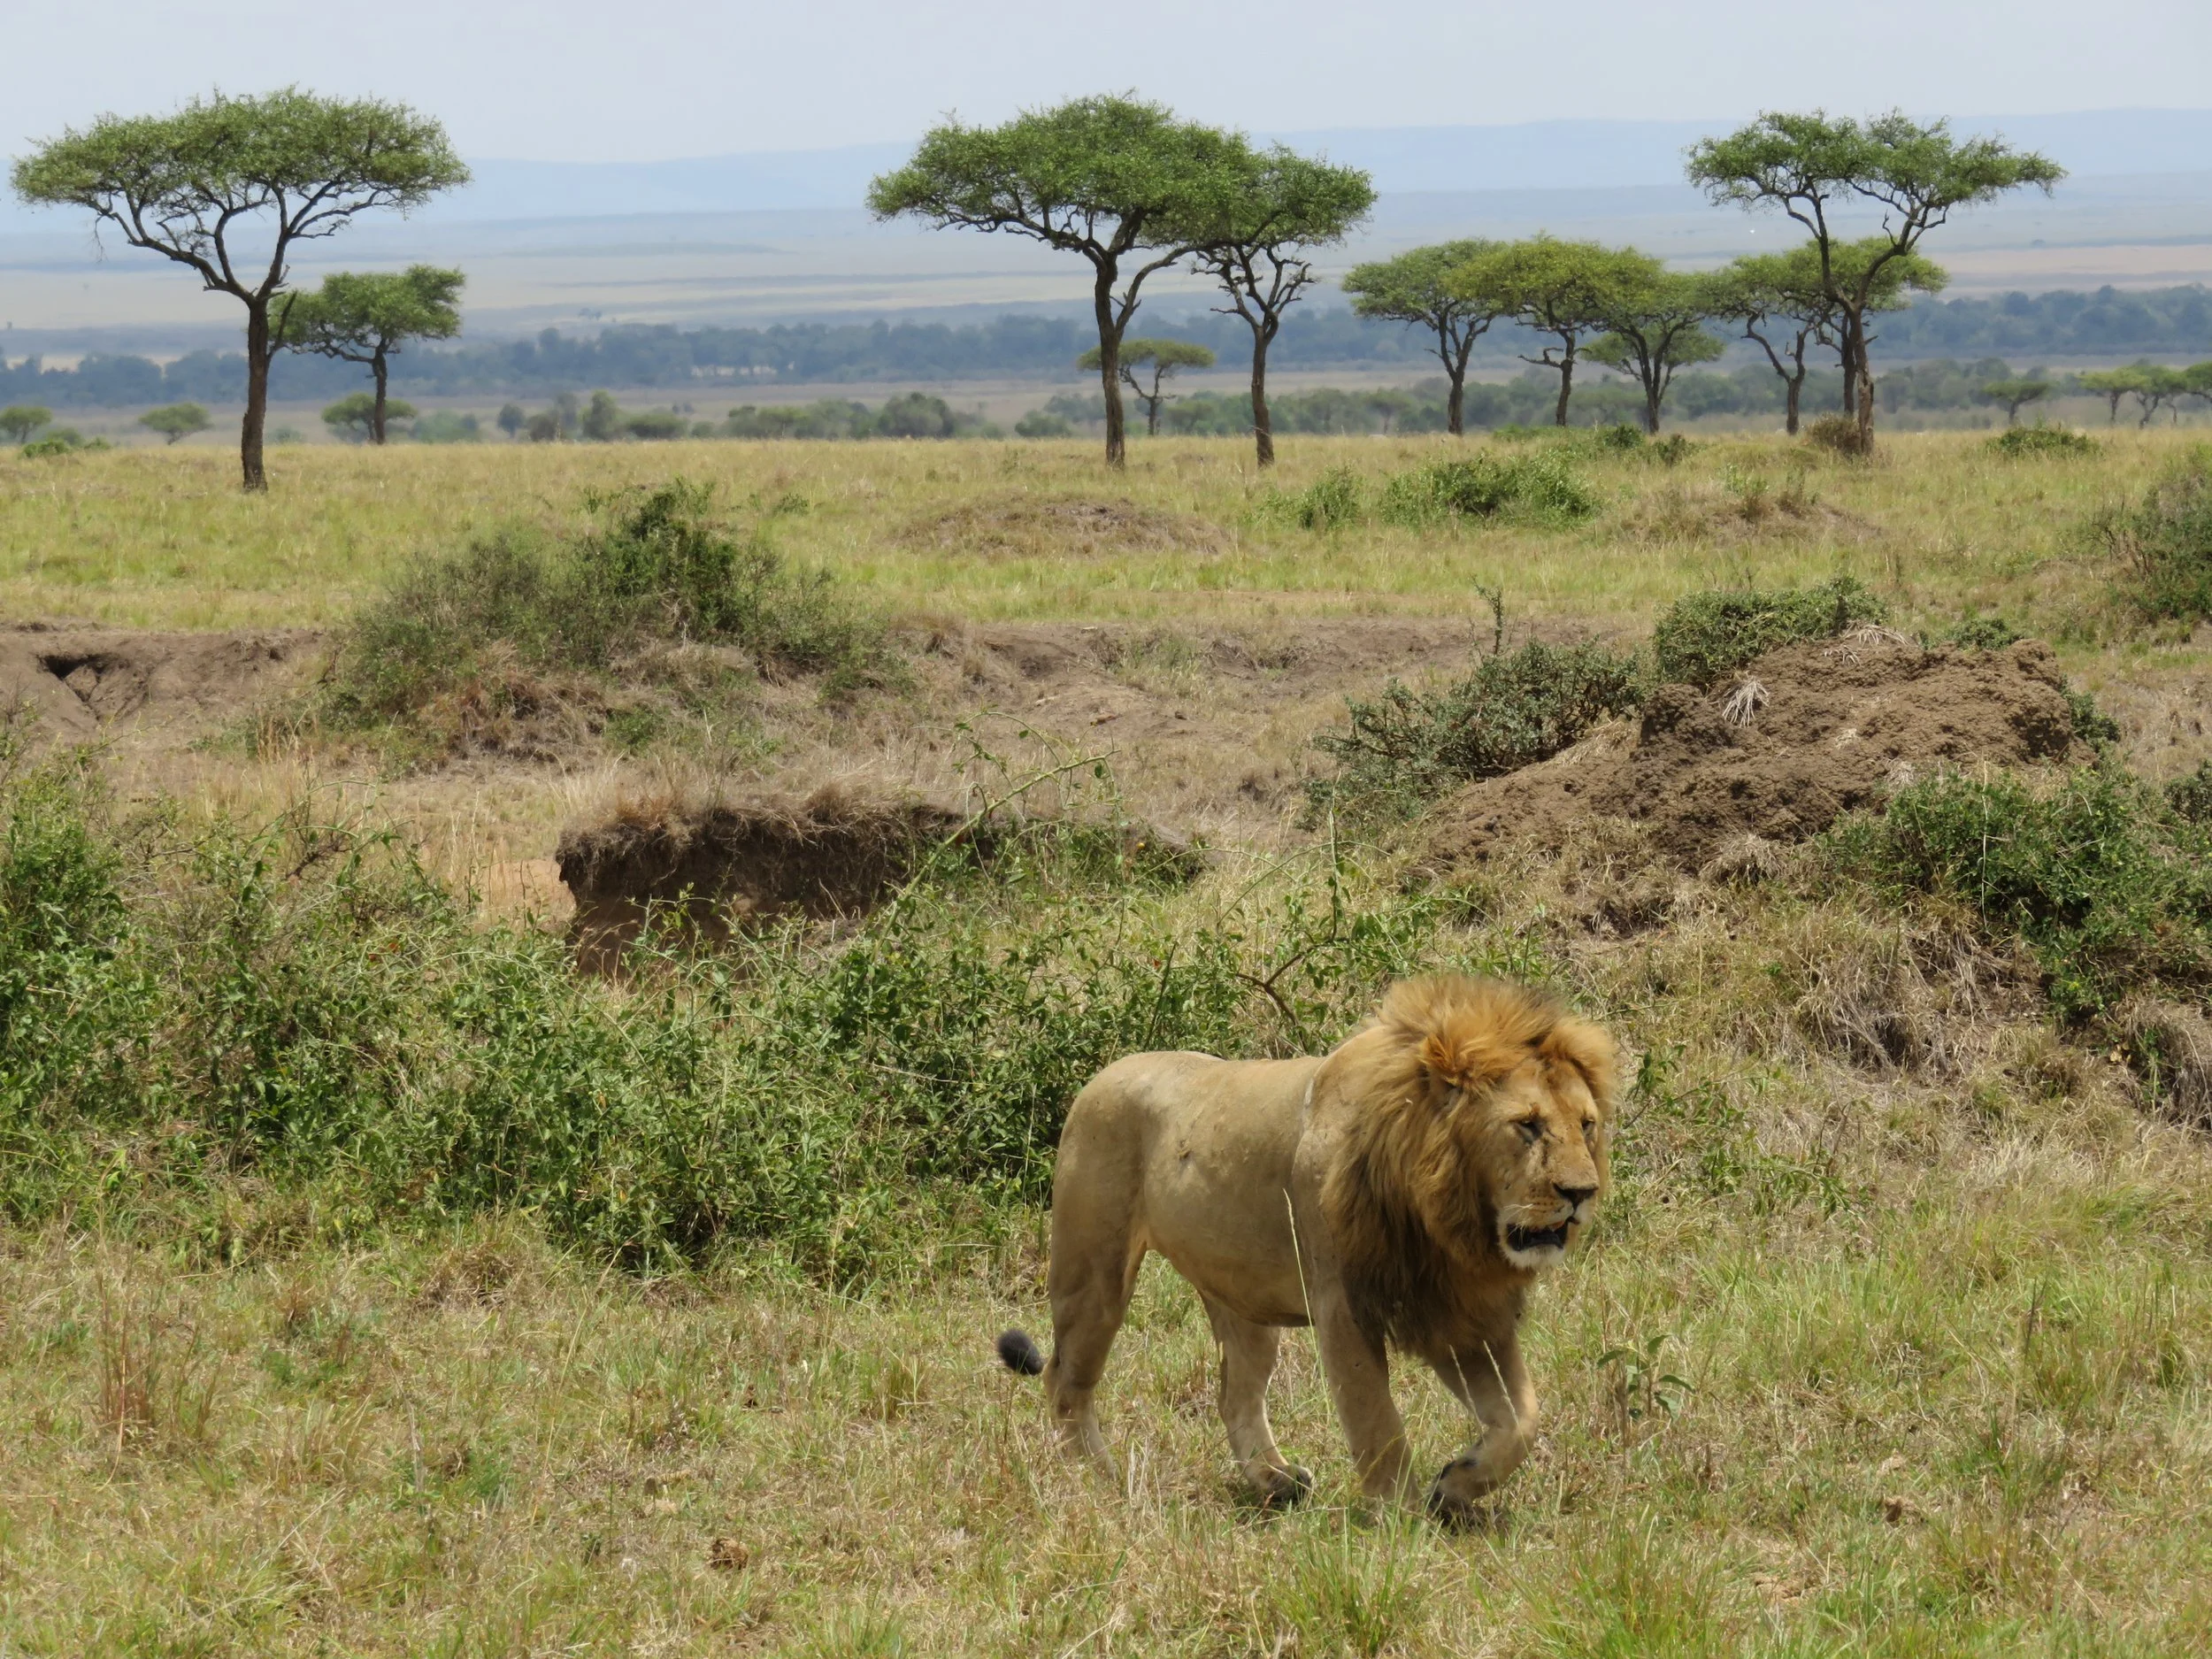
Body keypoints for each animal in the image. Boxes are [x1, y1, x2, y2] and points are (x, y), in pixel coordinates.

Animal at [995, 974, 1616, 1520]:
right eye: (1528, 1125)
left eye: (1586, 1124)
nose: (1582, 1193)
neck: (1447, 1215)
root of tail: (1101, 1075)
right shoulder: (1344, 1304)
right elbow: (1375, 1419)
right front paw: (1402, 1520)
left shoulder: (1460, 1310)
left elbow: (1522, 1419)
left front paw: (1455, 1487)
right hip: (1094, 1273)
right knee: (1065, 1381)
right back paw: (1099, 1481)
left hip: (1240, 1296)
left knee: (1235, 1392)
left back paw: (1276, 1480)